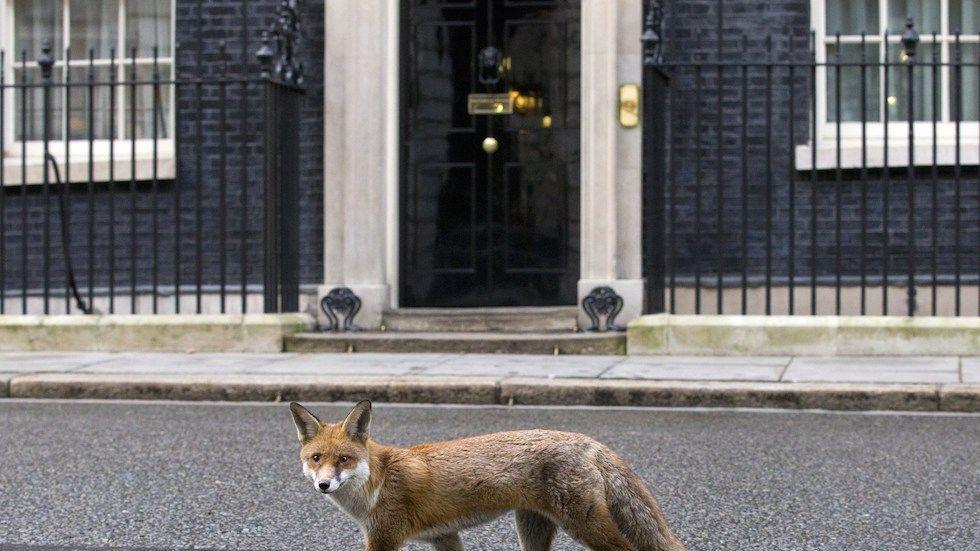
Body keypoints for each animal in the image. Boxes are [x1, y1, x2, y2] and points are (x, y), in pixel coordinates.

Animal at [288, 401, 687, 551]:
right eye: (316, 458)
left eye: (343, 459)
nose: (323, 484)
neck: (376, 484)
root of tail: (586, 440)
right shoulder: (444, 536)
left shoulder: (384, 538)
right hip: (532, 529)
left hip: (584, 525)